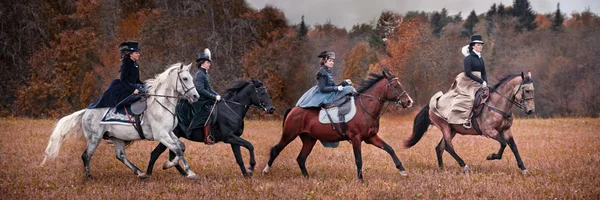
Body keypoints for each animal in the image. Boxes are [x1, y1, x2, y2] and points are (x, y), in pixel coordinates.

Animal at [42, 62, 203, 180]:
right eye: (185, 79)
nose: (196, 97)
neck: (161, 104)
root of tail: (87, 110)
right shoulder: (161, 135)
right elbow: (177, 149)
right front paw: (190, 173)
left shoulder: (169, 132)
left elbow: (181, 147)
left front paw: (168, 164)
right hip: (95, 138)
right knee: (86, 155)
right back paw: (89, 177)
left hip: (116, 137)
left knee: (120, 156)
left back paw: (140, 173)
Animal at [145, 79, 276, 177]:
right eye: (261, 93)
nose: (271, 109)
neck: (232, 109)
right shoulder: (229, 137)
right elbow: (250, 145)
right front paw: (251, 167)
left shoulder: (234, 139)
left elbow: (239, 158)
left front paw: (246, 175)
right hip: (166, 136)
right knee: (155, 153)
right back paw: (148, 174)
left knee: (172, 156)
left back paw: (184, 173)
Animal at [262, 69, 412, 180]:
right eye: (395, 86)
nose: (409, 101)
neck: (365, 108)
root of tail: (293, 109)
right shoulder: (356, 138)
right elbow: (359, 159)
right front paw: (361, 180)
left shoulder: (371, 137)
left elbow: (389, 149)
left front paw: (402, 170)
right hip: (289, 135)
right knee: (276, 150)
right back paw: (265, 171)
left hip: (309, 139)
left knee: (301, 158)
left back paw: (307, 178)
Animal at [406, 71, 536, 174]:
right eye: (527, 90)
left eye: (532, 90)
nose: (530, 110)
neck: (498, 104)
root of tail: (431, 104)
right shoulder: (489, 131)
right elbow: (503, 144)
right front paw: (491, 156)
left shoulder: (506, 130)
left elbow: (513, 146)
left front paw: (523, 168)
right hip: (445, 127)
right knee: (448, 147)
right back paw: (465, 166)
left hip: (452, 130)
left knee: (440, 148)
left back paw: (442, 169)